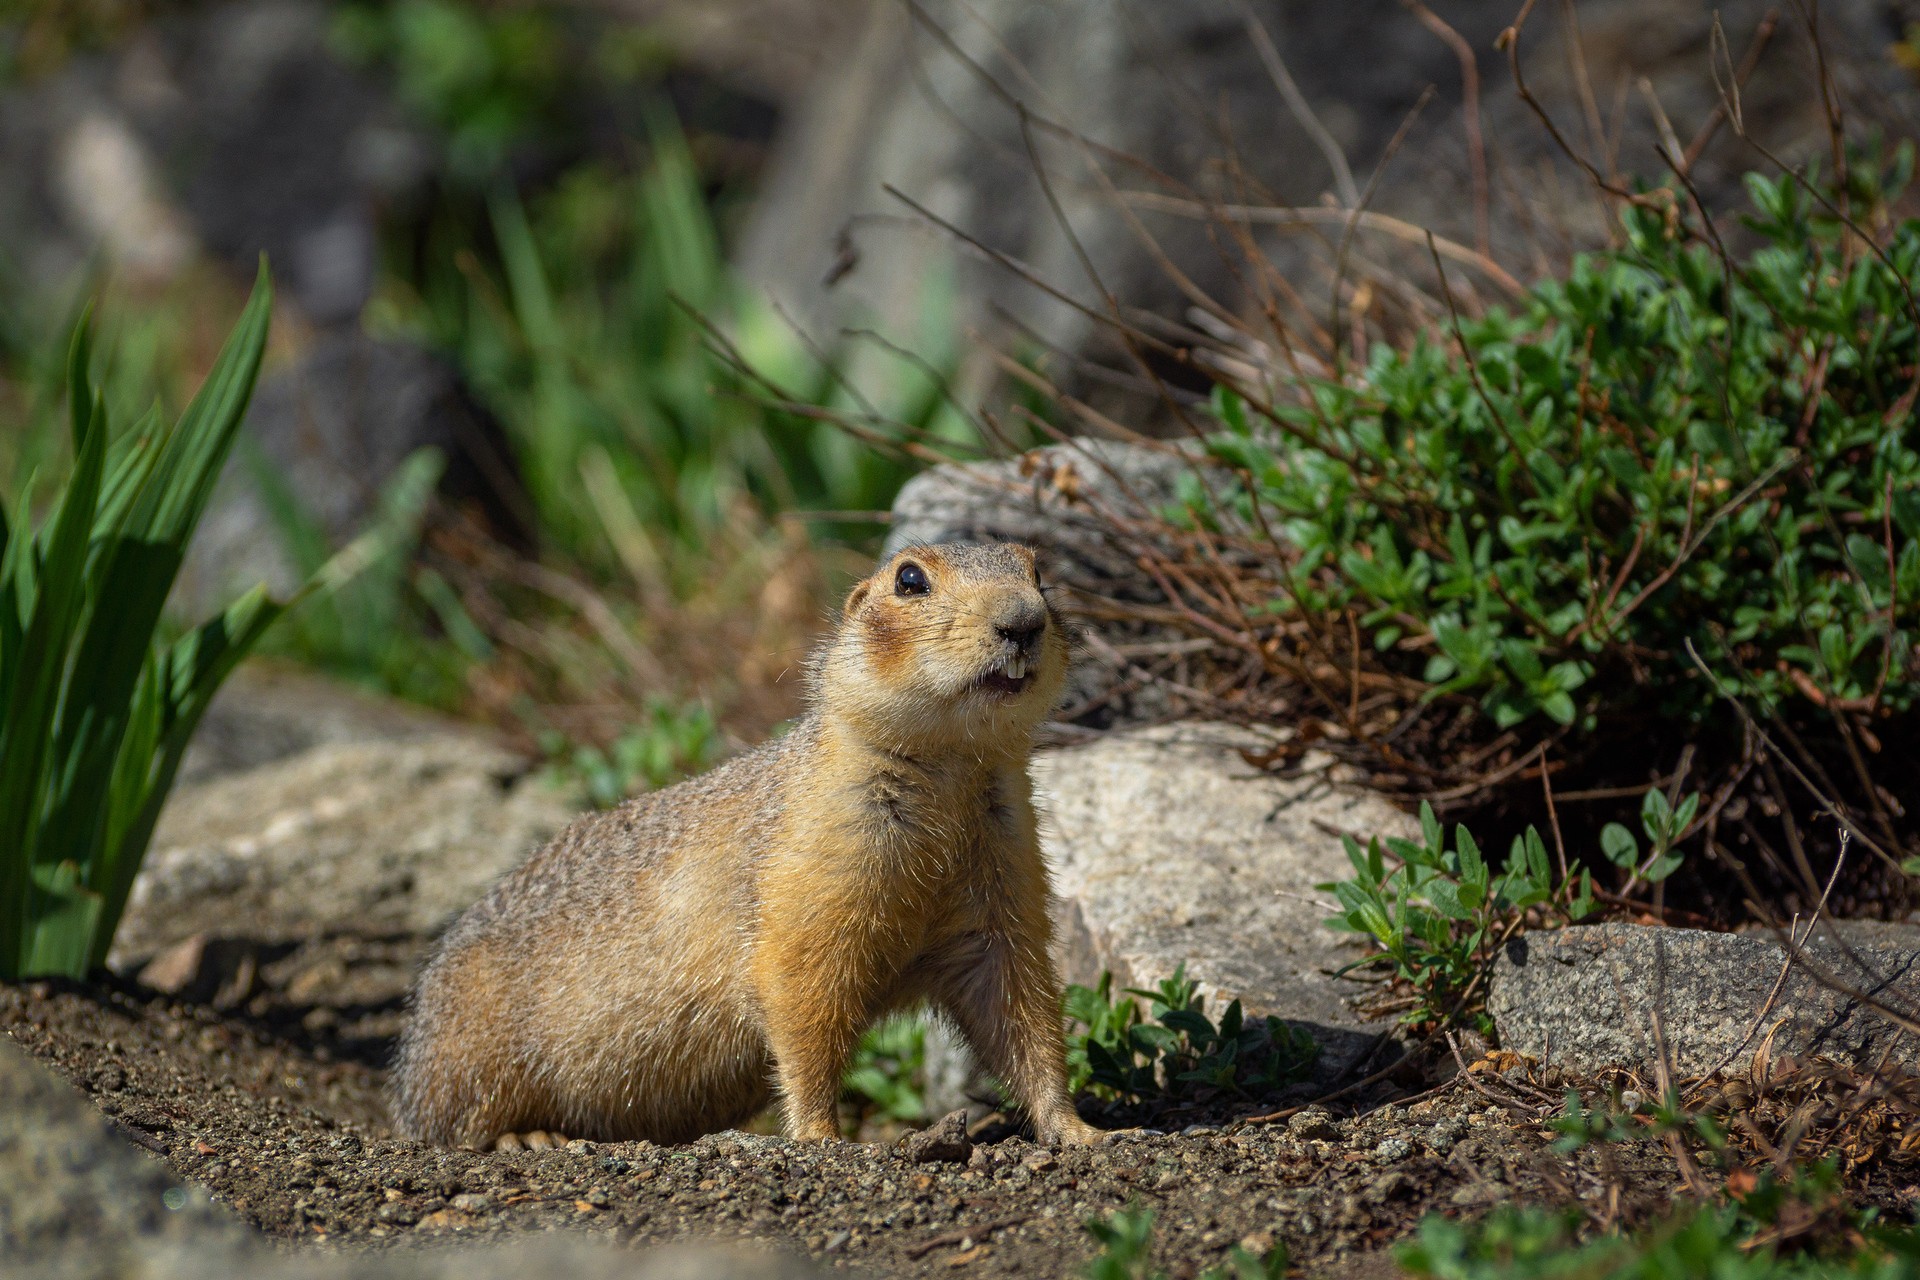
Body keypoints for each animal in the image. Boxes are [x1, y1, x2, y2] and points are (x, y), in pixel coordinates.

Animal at [389, 541, 1098, 1151]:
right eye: (909, 579)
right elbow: (801, 988)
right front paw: (822, 1134)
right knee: (455, 1123)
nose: (1023, 621)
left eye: (1038, 571)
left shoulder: (1004, 862)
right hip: (469, 1046)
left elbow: (1016, 997)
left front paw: (1080, 1129)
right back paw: (524, 1134)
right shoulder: (813, 861)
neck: (951, 768)